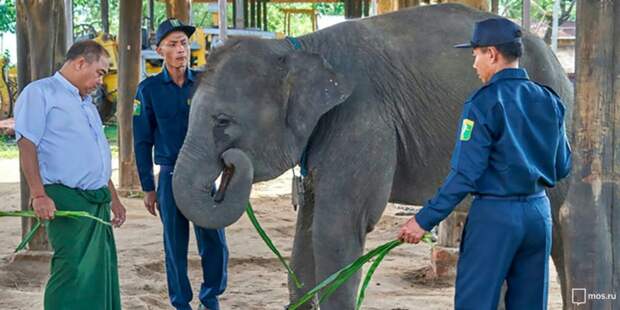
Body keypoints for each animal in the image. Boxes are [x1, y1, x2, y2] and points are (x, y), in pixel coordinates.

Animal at [172, 3, 572, 308]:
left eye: (223, 121)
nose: (231, 164)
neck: (299, 49)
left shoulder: (362, 116)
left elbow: (336, 227)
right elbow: (308, 227)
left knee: (559, 227)